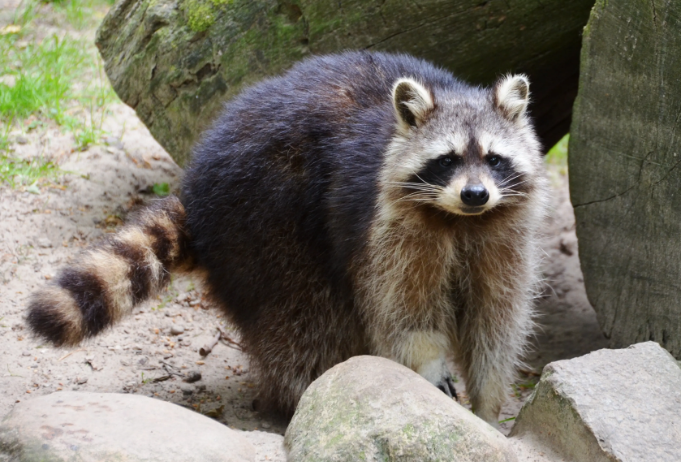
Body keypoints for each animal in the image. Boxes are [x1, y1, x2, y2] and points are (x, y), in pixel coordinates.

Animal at [26, 52, 548, 424]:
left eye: (494, 158)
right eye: (447, 159)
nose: (476, 194)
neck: (460, 220)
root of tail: (195, 189)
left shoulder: (505, 235)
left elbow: (495, 321)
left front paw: (487, 404)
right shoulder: (386, 229)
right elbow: (404, 312)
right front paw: (428, 367)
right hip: (264, 216)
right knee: (303, 317)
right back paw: (302, 394)